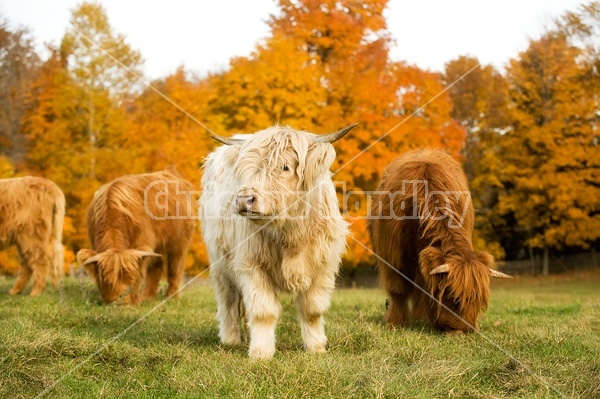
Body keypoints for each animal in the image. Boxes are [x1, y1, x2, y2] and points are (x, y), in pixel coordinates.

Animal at [77, 170, 195, 304]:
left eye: (132, 280)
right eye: (107, 282)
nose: (122, 304)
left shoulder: (142, 242)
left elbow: (141, 269)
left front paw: (136, 301)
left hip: (180, 241)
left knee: (175, 267)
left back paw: (172, 296)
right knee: (156, 267)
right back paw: (148, 297)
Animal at [200, 124, 356, 360]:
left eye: (285, 166)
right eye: (245, 168)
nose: (244, 199)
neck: (291, 233)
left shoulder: (322, 266)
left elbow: (312, 310)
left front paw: (316, 348)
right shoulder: (251, 265)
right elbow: (263, 311)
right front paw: (260, 353)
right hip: (220, 262)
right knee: (228, 300)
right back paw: (231, 339)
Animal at [366, 150, 510, 334]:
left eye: (478, 300)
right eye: (453, 297)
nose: (465, 330)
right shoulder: (392, 254)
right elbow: (397, 290)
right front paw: (395, 323)